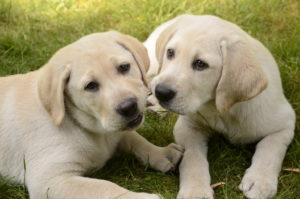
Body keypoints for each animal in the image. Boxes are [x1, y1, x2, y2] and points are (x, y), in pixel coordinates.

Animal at [0, 30, 183, 199]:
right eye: (91, 86)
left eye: (124, 67)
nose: (129, 107)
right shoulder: (50, 180)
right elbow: (104, 187)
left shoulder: (117, 132)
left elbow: (135, 139)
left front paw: (161, 153)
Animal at [145, 14, 296, 199]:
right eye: (170, 53)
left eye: (200, 64)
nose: (161, 92)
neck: (223, 110)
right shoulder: (187, 126)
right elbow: (192, 157)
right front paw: (195, 190)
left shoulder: (284, 123)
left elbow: (270, 149)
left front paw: (260, 180)